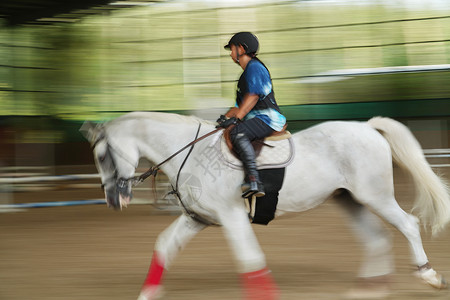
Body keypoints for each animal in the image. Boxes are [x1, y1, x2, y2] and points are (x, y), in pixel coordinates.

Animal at [81, 112, 450, 300]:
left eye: (102, 156)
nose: (114, 200)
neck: (191, 152)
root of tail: (367, 127)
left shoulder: (232, 216)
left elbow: (250, 261)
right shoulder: (197, 218)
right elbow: (164, 247)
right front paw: (147, 294)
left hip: (376, 196)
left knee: (407, 225)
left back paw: (428, 275)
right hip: (350, 201)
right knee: (375, 238)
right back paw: (368, 290)